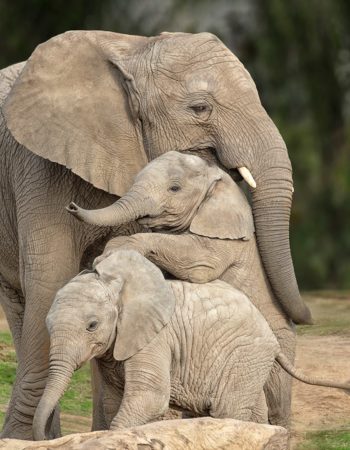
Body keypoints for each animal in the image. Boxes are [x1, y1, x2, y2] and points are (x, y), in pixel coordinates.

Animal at [0, 29, 312, 438]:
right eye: (200, 108)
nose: (306, 316)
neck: (133, 50)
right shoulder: (38, 168)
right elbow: (49, 281)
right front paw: (23, 440)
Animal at [32, 250, 348, 440]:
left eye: (92, 325)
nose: (46, 435)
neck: (121, 286)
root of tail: (270, 334)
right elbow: (113, 400)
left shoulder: (155, 339)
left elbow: (150, 396)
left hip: (245, 354)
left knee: (227, 408)